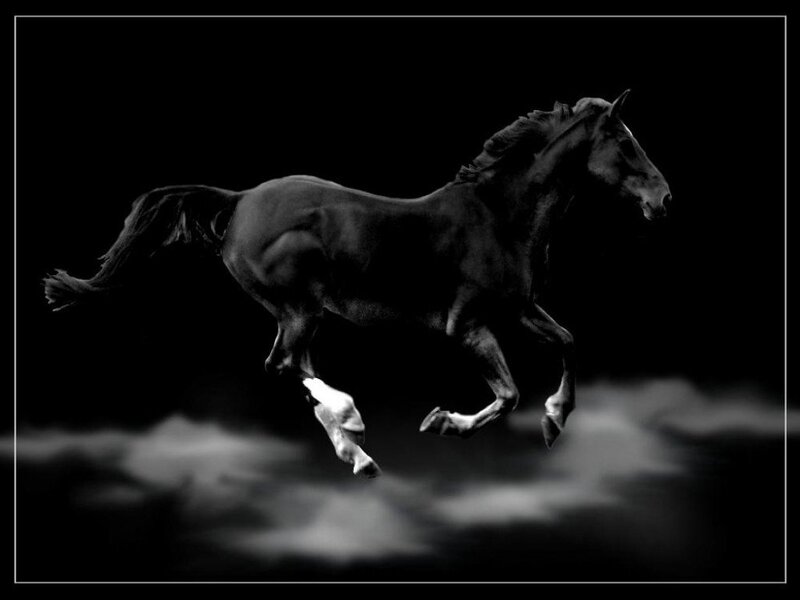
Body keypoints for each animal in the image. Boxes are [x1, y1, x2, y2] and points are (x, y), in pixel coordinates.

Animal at [43, 90, 671, 478]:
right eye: (626, 143)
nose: (664, 199)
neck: (500, 215)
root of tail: (239, 199)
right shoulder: (468, 324)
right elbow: (509, 392)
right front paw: (443, 421)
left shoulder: (520, 309)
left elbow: (567, 341)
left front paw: (553, 420)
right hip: (300, 306)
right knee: (285, 365)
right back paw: (352, 425)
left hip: (303, 313)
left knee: (297, 368)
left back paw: (358, 453)